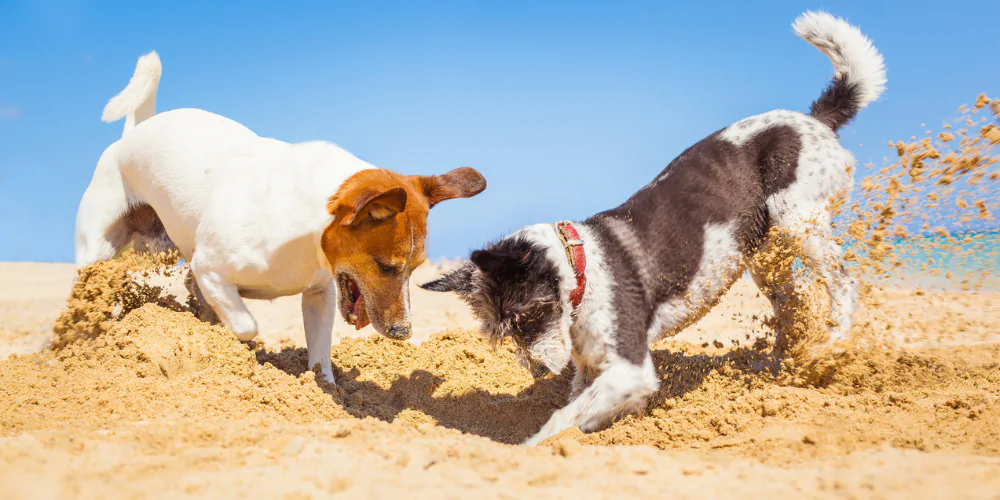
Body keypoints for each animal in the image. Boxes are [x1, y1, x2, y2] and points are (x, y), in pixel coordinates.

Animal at [76, 52, 486, 380]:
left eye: (416, 269)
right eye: (386, 267)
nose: (404, 333)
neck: (306, 229)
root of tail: (135, 132)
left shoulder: (320, 293)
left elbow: (320, 355)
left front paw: (325, 388)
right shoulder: (209, 268)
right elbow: (245, 324)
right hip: (97, 251)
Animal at [420, 10, 884, 446]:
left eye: (527, 316)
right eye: (499, 332)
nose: (535, 370)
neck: (581, 268)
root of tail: (815, 120)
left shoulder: (631, 369)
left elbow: (561, 419)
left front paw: (531, 446)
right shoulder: (592, 369)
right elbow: (579, 406)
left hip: (798, 220)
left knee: (844, 285)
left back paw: (831, 348)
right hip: (766, 255)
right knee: (793, 305)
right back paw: (779, 366)